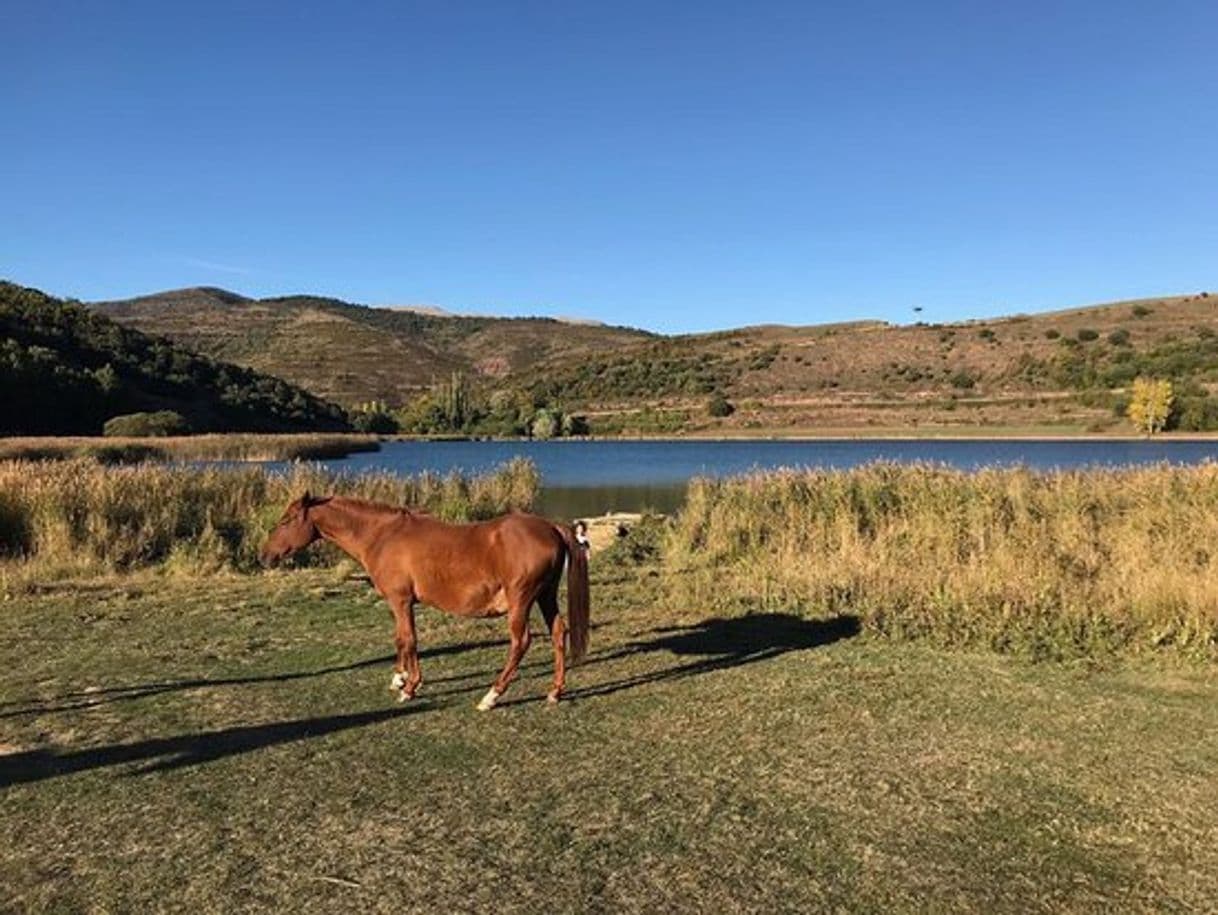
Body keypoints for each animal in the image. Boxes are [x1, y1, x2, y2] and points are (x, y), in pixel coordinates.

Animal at [259, 497, 591, 711]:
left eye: (286, 520)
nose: (264, 555)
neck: (382, 535)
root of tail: (551, 527)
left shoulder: (401, 601)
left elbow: (408, 639)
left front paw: (410, 687)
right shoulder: (401, 604)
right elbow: (400, 638)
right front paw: (399, 677)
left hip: (521, 601)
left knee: (520, 642)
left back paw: (492, 696)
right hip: (545, 596)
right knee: (558, 634)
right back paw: (555, 691)